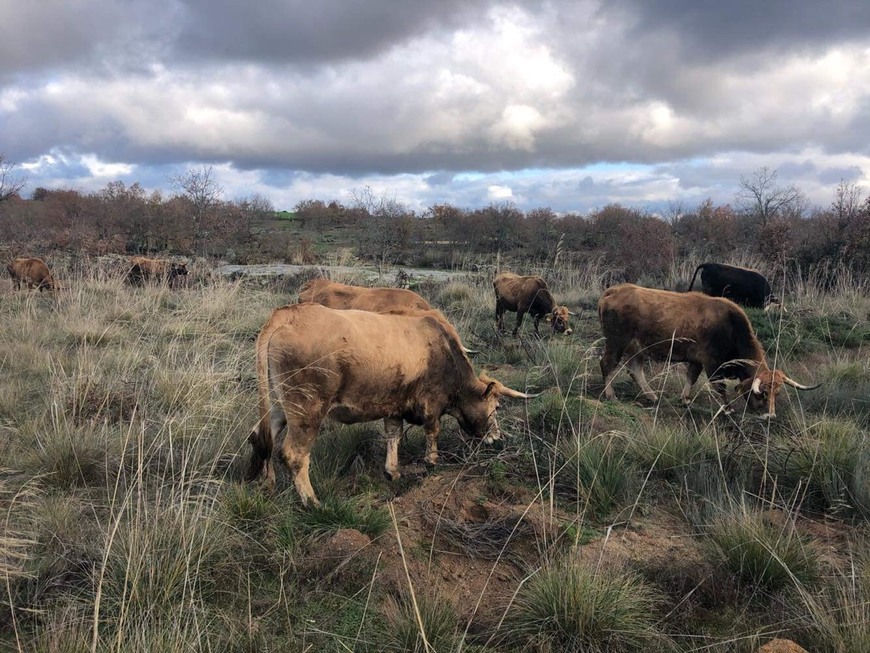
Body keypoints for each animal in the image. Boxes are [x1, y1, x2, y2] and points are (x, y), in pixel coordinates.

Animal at [249, 300, 540, 504]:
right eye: (496, 408)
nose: (497, 437)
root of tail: (288, 314)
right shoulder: (431, 402)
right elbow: (433, 431)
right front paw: (431, 461)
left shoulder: (393, 405)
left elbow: (393, 436)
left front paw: (393, 471)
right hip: (307, 409)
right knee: (294, 454)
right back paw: (312, 502)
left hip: (278, 405)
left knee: (262, 436)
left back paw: (266, 483)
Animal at [600, 282, 816, 416]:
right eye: (762, 393)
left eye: (777, 394)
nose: (770, 415)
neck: (731, 326)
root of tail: (615, 290)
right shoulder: (712, 363)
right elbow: (719, 386)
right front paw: (728, 408)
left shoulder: (697, 360)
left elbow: (691, 378)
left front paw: (685, 399)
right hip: (616, 342)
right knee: (607, 364)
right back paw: (610, 395)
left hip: (638, 348)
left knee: (635, 370)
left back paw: (652, 396)